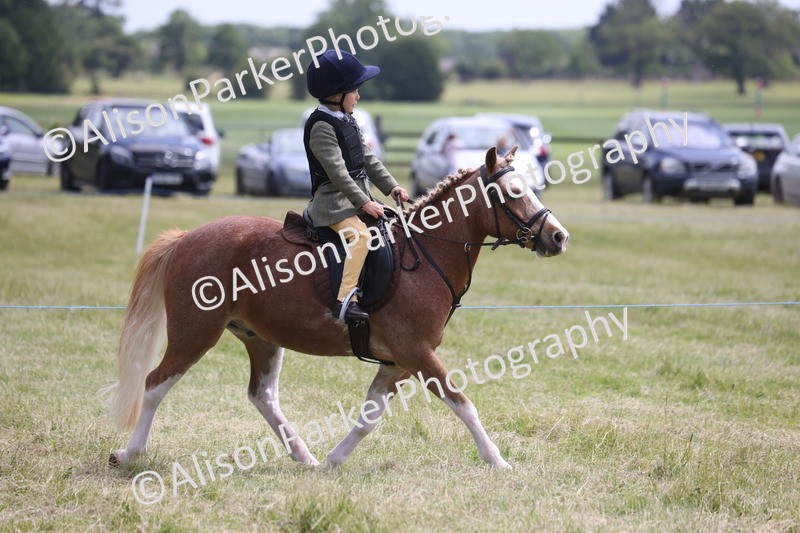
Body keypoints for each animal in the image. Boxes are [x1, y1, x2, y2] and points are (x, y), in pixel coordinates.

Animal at [107, 146, 569, 469]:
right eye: (514, 192)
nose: (558, 237)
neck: (427, 252)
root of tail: (187, 237)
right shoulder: (417, 354)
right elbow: (463, 403)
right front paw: (498, 460)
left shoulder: (396, 363)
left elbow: (369, 417)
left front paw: (334, 460)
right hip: (195, 333)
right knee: (155, 384)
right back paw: (130, 454)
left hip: (260, 338)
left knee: (262, 395)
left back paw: (304, 456)